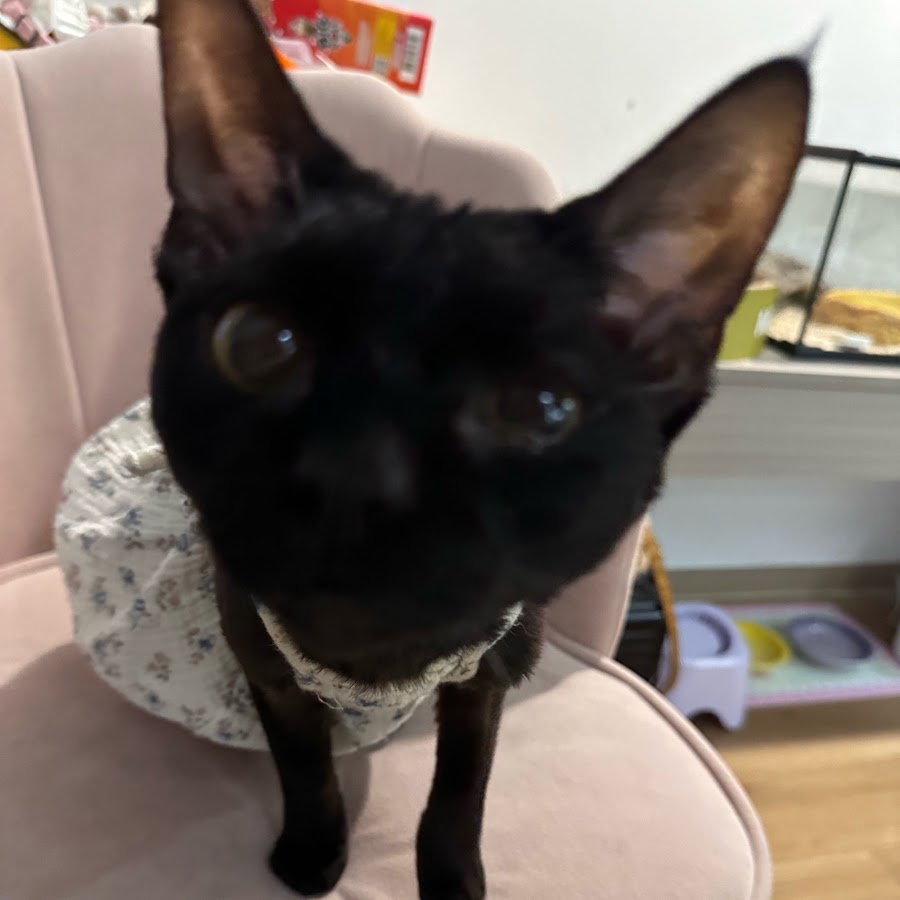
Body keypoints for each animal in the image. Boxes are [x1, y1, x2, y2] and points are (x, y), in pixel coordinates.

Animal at [149, 0, 808, 896]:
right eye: (255, 344)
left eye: (539, 409)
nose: (356, 474)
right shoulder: (266, 667)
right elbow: (305, 765)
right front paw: (314, 854)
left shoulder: (490, 675)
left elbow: (462, 789)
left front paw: (453, 878)